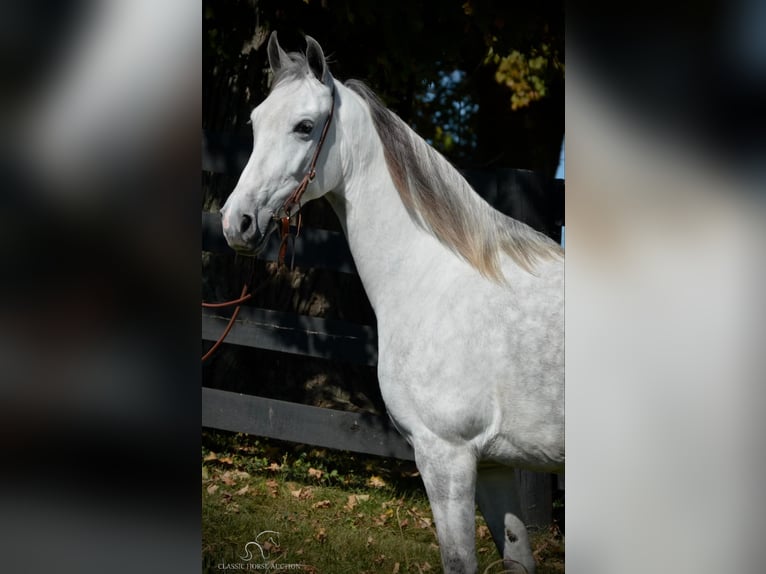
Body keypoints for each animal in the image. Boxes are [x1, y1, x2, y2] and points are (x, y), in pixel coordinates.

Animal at [219, 33, 568, 572]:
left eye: (304, 127)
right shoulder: (492, 464)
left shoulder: (446, 456)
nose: (236, 223)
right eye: (256, 122)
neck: (438, 281)